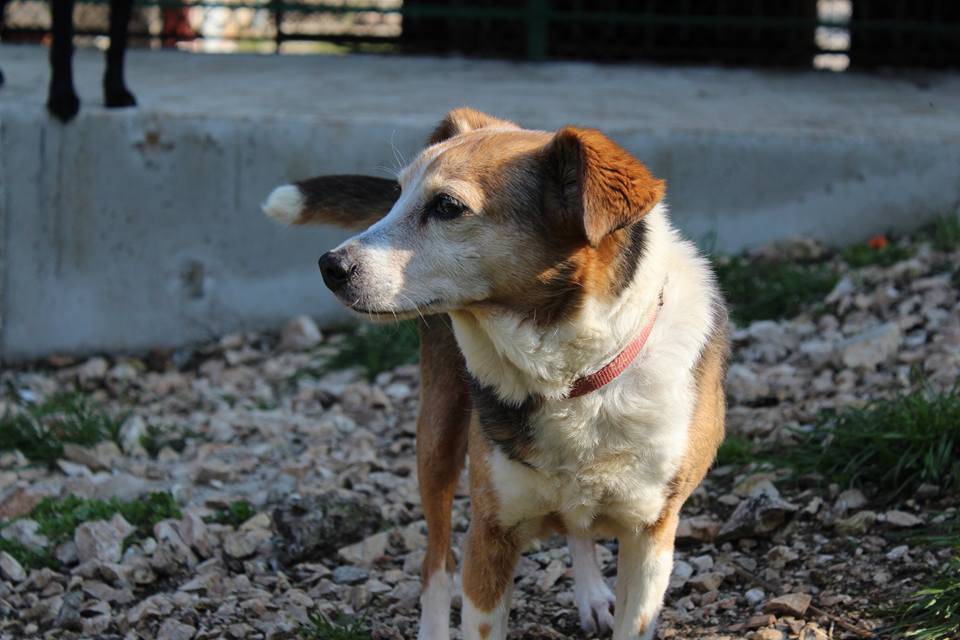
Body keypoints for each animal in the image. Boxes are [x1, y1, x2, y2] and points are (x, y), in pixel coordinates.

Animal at [262, 107, 728, 636]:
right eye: (398, 194)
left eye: (447, 207)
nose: (329, 266)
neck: (569, 377)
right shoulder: (490, 534)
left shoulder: (651, 537)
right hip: (437, 436)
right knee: (436, 562)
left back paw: (591, 593)